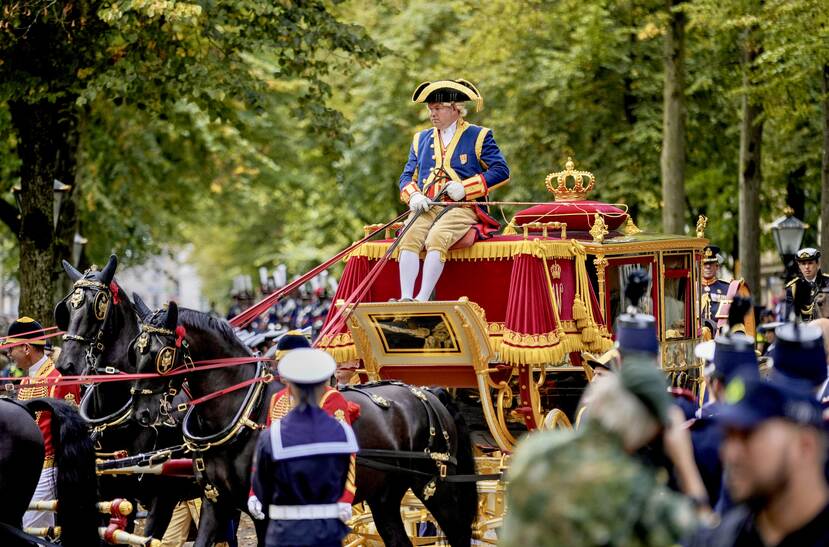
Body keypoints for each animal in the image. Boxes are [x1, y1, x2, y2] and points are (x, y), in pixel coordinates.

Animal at [130, 302, 478, 544]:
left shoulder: (264, 509)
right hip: (385, 498)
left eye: (161, 354)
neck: (245, 413)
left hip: (437, 488)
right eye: (136, 350)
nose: (141, 413)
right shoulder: (216, 504)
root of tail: (428, 392)